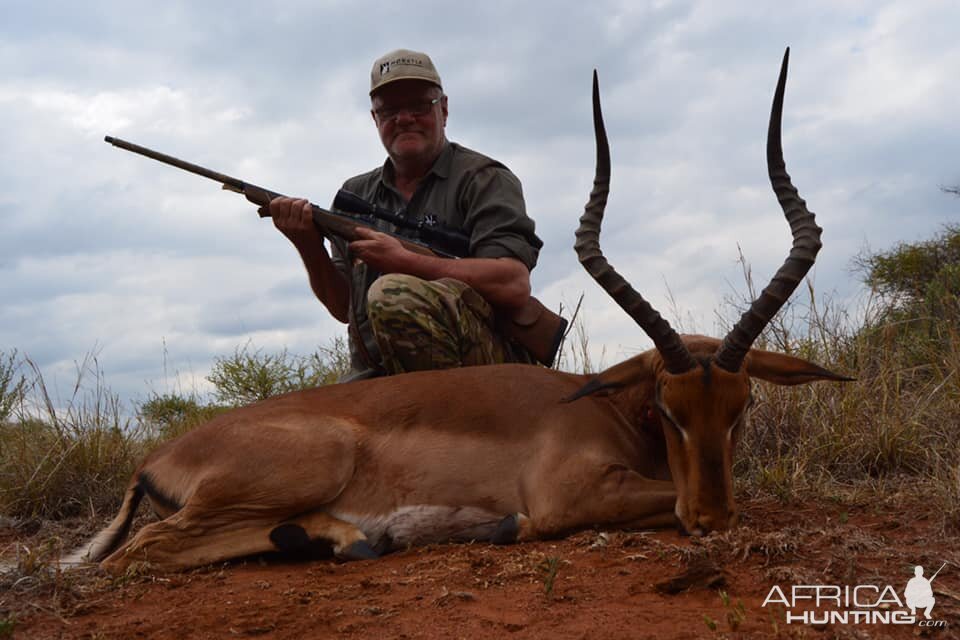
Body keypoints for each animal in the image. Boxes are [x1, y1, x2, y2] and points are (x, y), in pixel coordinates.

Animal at [69, 47, 848, 572]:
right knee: (140, 553)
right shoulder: (573, 497)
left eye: (742, 406)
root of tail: (156, 457)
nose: (712, 518)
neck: (604, 409)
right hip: (301, 468)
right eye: (668, 405)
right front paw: (508, 528)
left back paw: (355, 539)